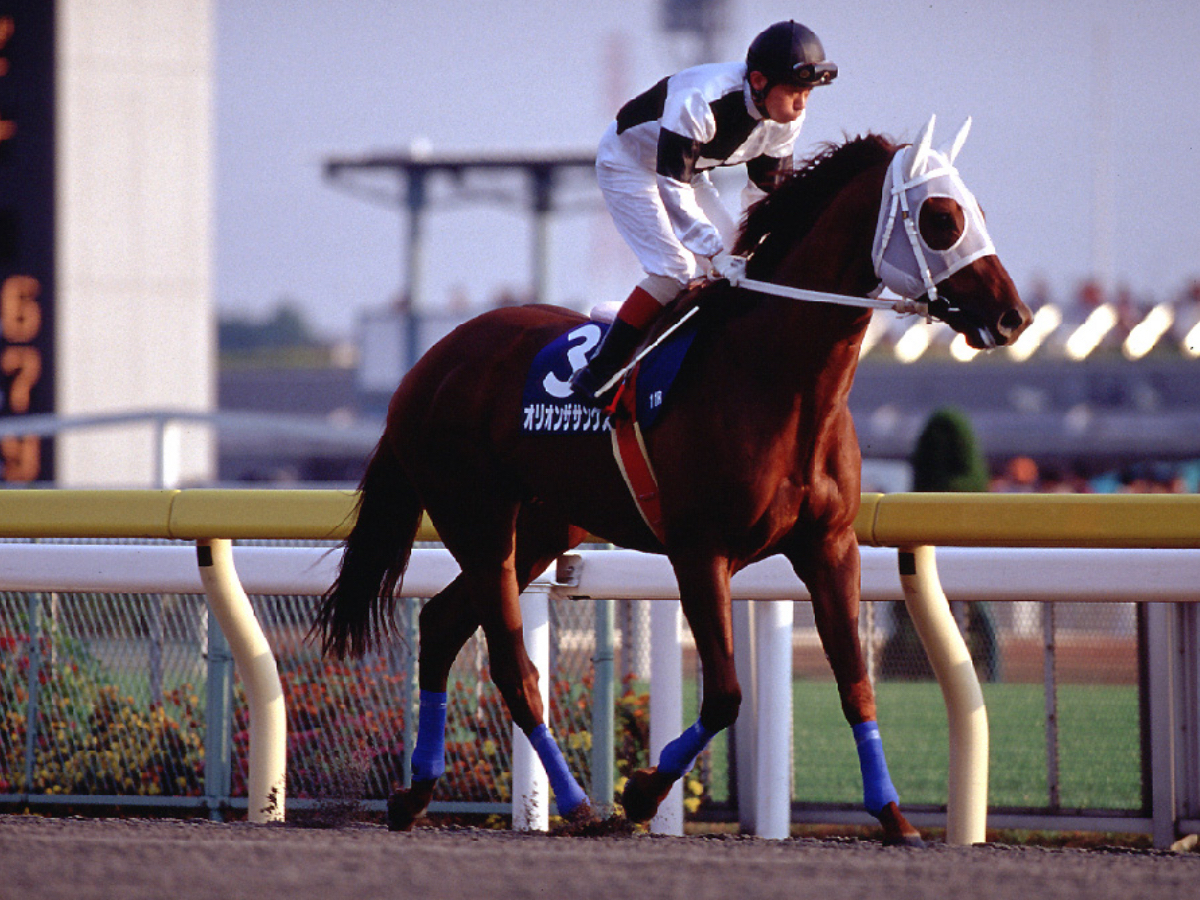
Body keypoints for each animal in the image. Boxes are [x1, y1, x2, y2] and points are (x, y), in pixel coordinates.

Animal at [312, 114, 1032, 844]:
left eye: (977, 211)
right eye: (941, 218)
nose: (1013, 317)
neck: (773, 380)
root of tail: (428, 364)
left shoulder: (828, 546)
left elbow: (855, 680)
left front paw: (893, 816)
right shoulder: (700, 550)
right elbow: (726, 694)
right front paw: (640, 792)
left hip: (537, 529)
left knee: (440, 622)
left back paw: (415, 794)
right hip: (478, 519)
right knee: (515, 669)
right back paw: (576, 804)